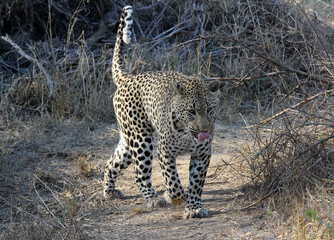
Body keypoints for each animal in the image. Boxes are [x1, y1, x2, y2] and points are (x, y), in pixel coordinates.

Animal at [103, 5, 220, 219]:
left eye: (210, 109)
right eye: (191, 111)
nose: (204, 131)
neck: (187, 133)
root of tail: (128, 78)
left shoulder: (202, 153)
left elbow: (196, 183)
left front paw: (194, 207)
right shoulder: (164, 151)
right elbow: (172, 180)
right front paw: (176, 197)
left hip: (128, 140)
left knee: (112, 163)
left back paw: (109, 191)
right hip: (141, 139)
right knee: (140, 173)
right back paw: (153, 198)